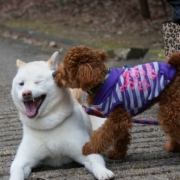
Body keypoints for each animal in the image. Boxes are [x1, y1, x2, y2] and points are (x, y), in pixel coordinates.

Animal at [9, 51, 113, 180]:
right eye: (21, 84)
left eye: (38, 81)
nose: (26, 93)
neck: (49, 125)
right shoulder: (22, 160)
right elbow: (16, 171)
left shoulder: (86, 151)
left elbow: (96, 162)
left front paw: (103, 171)